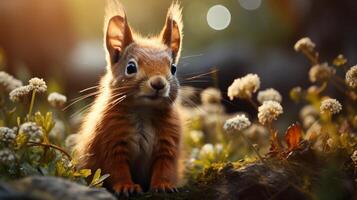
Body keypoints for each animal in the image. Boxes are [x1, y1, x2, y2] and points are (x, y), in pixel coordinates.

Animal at [73, 0, 182, 196]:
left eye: (173, 68)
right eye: (131, 67)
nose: (158, 84)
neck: (143, 110)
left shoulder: (168, 143)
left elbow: (165, 167)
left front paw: (163, 185)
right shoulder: (111, 141)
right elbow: (116, 169)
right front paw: (127, 187)